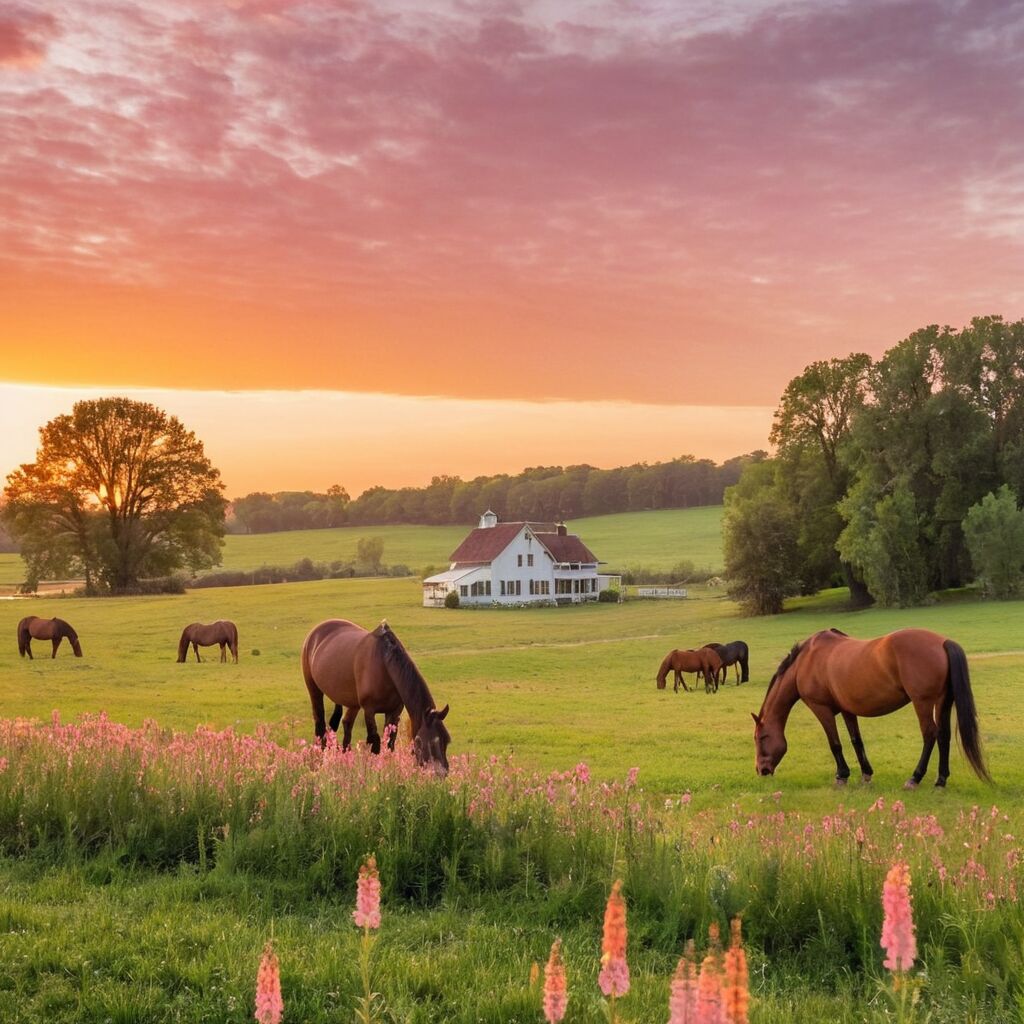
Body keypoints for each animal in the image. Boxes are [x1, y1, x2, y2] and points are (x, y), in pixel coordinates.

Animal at [299, 614, 452, 774]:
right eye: (423, 741)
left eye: (446, 741)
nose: (441, 773)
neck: (384, 665)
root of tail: (315, 632)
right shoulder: (369, 710)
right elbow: (375, 743)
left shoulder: (394, 712)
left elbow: (390, 743)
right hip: (314, 689)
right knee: (320, 723)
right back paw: (320, 757)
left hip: (352, 702)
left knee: (346, 724)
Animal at [757, 626, 987, 786]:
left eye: (761, 738)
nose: (761, 770)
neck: (806, 662)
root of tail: (943, 642)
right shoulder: (847, 710)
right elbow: (856, 740)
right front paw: (866, 774)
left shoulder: (821, 708)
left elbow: (835, 744)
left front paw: (842, 775)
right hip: (942, 702)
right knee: (943, 735)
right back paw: (940, 780)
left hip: (922, 702)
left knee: (930, 734)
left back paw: (915, 777)